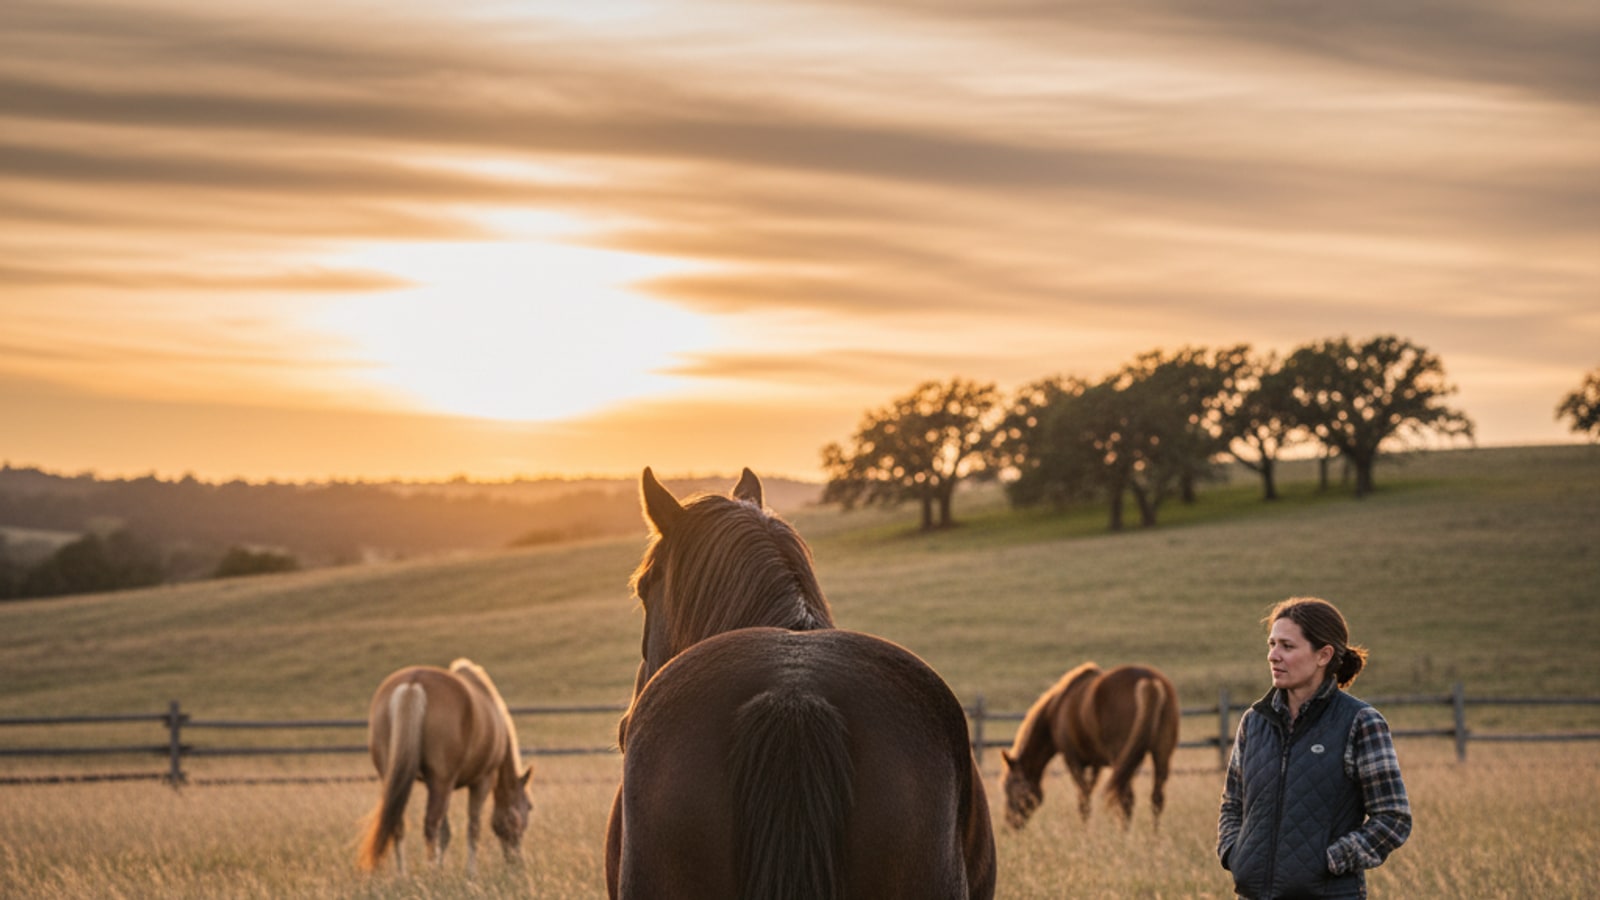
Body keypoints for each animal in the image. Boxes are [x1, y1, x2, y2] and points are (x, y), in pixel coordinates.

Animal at [358, 658, 533, 875]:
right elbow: (472, 829)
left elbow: (445, 832)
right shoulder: (481, 781)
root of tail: (413, 683)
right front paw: (470, 873)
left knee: (397, 824)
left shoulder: (442, 785)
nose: (517, 861)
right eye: (529, 807)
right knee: (430, 824)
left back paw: (403, 875)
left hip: (394, 778)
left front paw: (443, 867)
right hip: (442, 782)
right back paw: (431, 874)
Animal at [999, 662, 1179, 831]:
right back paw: (1154, 836)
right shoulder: (1095, 763)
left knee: (1126, 799)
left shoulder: (1073, 759)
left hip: (1122, 758)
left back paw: (1124, 837)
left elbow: (1083, 800)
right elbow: (1089, 793)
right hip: (1160, 754)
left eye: (1009, 788)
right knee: (1156, 799)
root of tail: (1149, 681)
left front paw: (1085, 833)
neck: (1057, 709)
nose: (1009, 825)